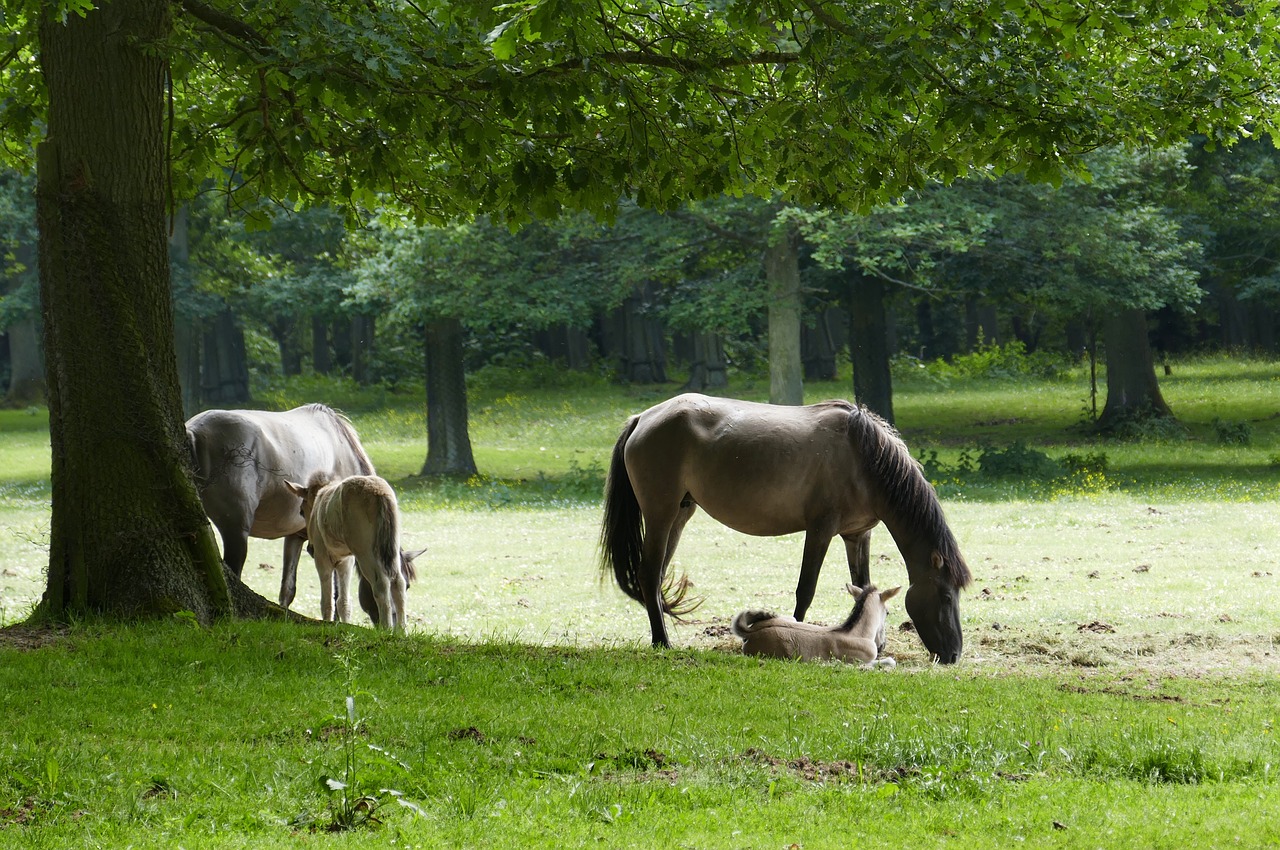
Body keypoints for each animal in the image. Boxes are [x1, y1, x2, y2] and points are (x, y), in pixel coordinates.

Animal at [288, 471, 412, 629]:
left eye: (302, 511)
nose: (310, 548)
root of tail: (380, 493)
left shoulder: (322, 558)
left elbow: (327, 602)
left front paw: (326, 624)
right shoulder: (346, 561)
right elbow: (343, 603)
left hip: (365, 552)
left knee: (381, 583)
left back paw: (387, 628)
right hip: (391, 550)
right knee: (398, 582)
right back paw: (401, 630)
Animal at [732, 583, 901, 670]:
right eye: (887, 612)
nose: (882, 645)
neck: (856, 633)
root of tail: (750, 632)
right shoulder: (859, 660)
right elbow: (890, 661)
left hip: (791, 618)